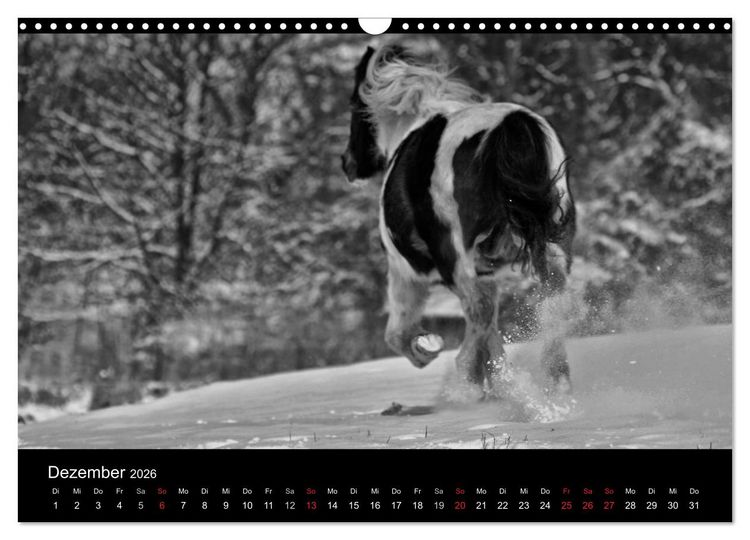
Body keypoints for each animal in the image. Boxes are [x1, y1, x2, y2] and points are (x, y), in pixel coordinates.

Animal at [341, 44, 576, 395]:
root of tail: (512, 126)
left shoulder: (404, 272)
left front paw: (428, 348)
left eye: (353, 105)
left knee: (477, 311)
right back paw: (555, 382)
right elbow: (491, 330)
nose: (347, 163)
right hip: (551, 248)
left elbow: (398, 334)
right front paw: (497, 382)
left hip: (454, 258)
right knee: (551, 302)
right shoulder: (487, 273)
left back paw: (464, 384)